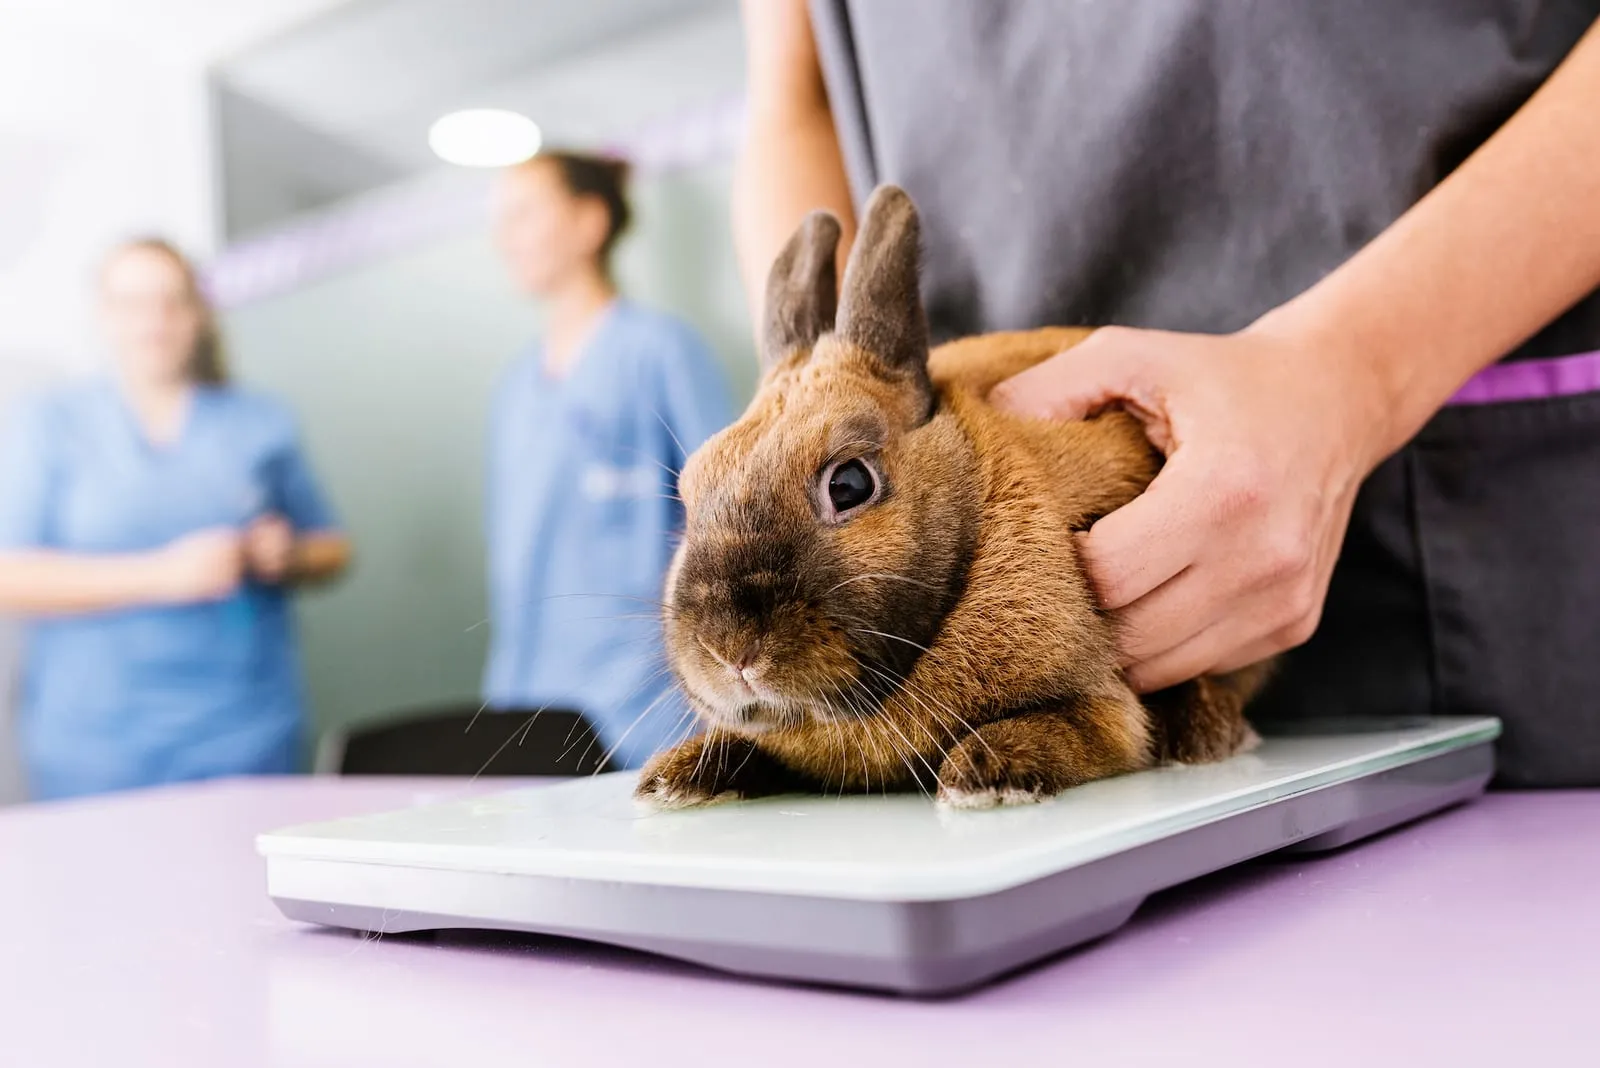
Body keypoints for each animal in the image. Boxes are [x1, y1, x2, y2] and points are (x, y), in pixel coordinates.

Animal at [636, 184, 1268, 810]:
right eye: (690, 494)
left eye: (849, 484)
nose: (730, 652)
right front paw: (674, 778)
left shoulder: (1102, 710)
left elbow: (1071, 731)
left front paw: (982, 775)